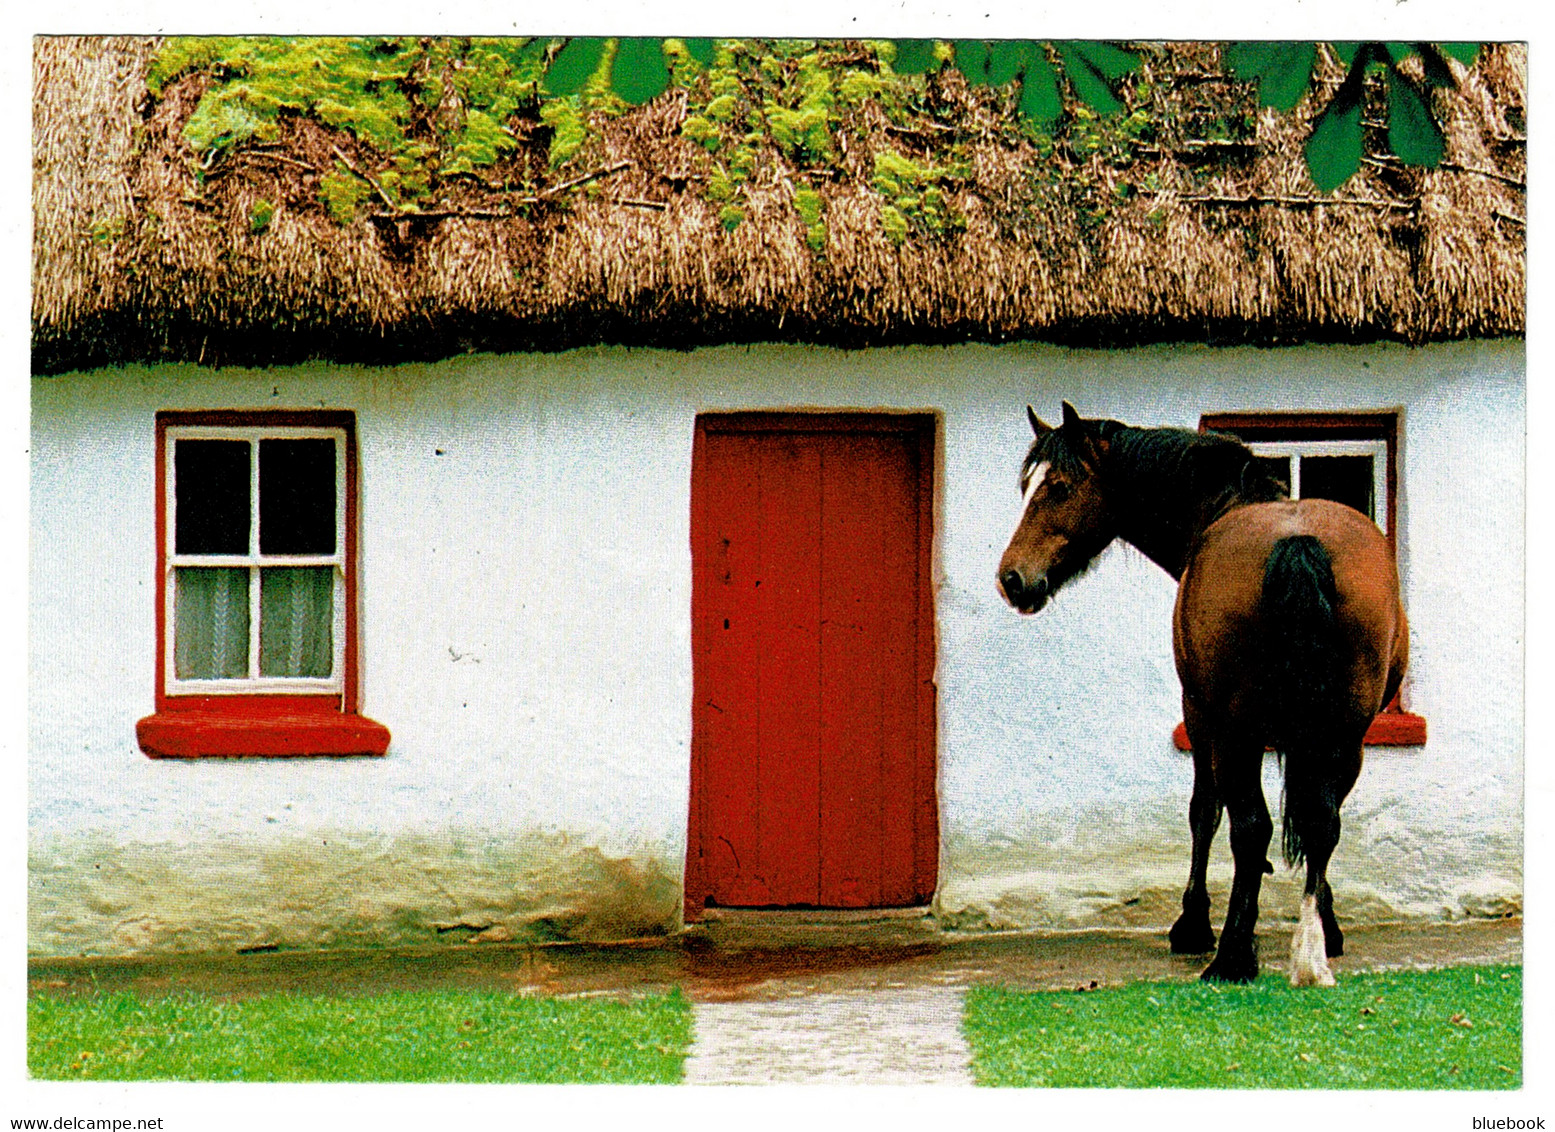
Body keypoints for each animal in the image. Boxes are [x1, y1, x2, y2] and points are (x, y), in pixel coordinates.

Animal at [995, 404, 1411, 982]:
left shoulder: (1199, 716)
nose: (1012, 579)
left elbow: (1205, 812)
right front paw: (1328, 923)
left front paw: (1194, 924)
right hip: (1345, 733)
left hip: (1237, 731)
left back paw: (1233, 954)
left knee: (1251, 826)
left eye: (1058, 487)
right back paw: (1309, 952)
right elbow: (1309, 816)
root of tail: (1298, 543)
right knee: (1322, 823)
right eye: (1025, 485)